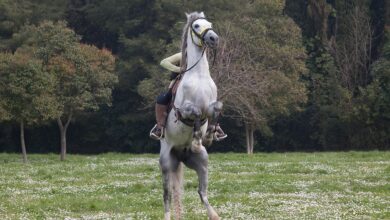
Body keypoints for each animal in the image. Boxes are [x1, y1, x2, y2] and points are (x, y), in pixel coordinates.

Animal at [159, 11, 221, 220]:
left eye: (210, 24)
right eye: (196, 26)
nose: (213, 38)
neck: (199, 76)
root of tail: (179, 154)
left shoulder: (212, 105)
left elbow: (215, 109)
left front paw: (209, 135)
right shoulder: (184, 109)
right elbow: (195, 113)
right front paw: (196, 138)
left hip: (202, 162)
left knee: (202, 192)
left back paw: (214, 215)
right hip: (166, 163)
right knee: (167, 195)